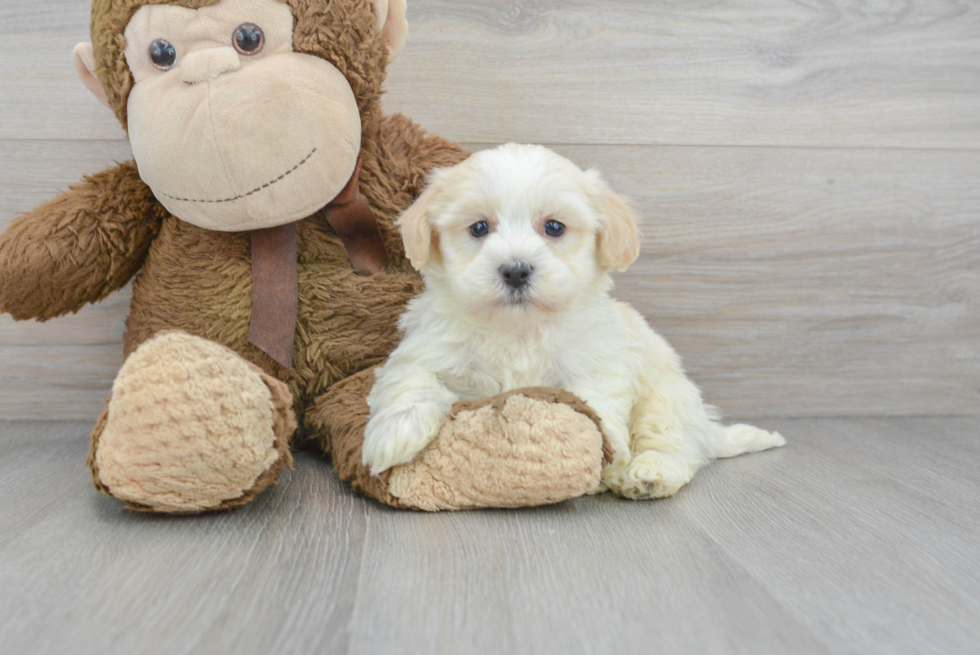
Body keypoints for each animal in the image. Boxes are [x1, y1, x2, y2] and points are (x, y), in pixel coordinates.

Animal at [364, 145, 784, 498]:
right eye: (479, 228)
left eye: (554, 227)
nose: (516, 271)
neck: (520, 328)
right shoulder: (427, 350)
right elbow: (411, 384)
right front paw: (391, 438)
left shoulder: (596, 364)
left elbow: (597, 411)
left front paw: (605, 459)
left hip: (666, 396)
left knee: (672, 445)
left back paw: (646, 475)